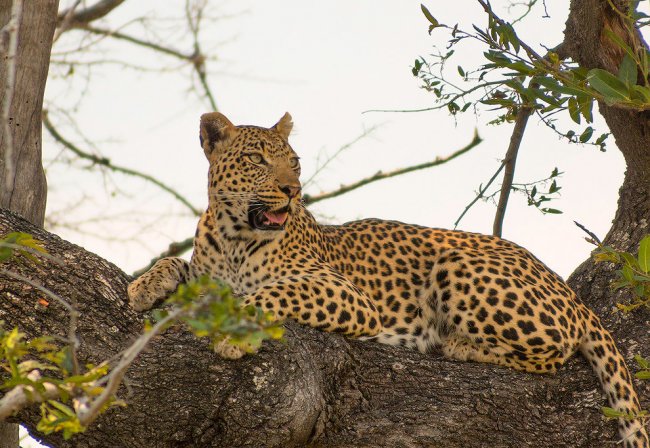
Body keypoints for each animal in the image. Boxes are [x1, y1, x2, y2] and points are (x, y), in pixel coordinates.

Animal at [129, 112, 644, 448]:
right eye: (257, 158)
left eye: (294, 162)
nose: (293, 190)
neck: (236, 235)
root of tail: (572, 294)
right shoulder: (208, 271)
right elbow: (180, 268)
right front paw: (144, 285)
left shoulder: (347, 295)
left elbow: (271, 291)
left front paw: (235, 334)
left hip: (457, 264)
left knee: (552, 353)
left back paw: (457, 345)